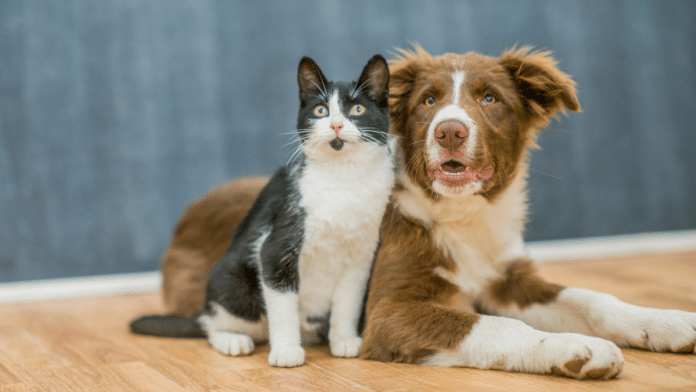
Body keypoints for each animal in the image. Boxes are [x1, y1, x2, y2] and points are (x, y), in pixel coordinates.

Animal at [129, 54, 392, 368]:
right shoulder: (276, 247)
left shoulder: (360, 258)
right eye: (321, 110)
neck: (343, 179)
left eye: (357, 109)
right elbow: (282, 305)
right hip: (234, 282)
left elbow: (347, 303)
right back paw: (232, 340)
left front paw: (344, 340)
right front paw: (287, 351)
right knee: (212, 324)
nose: (337, 125)